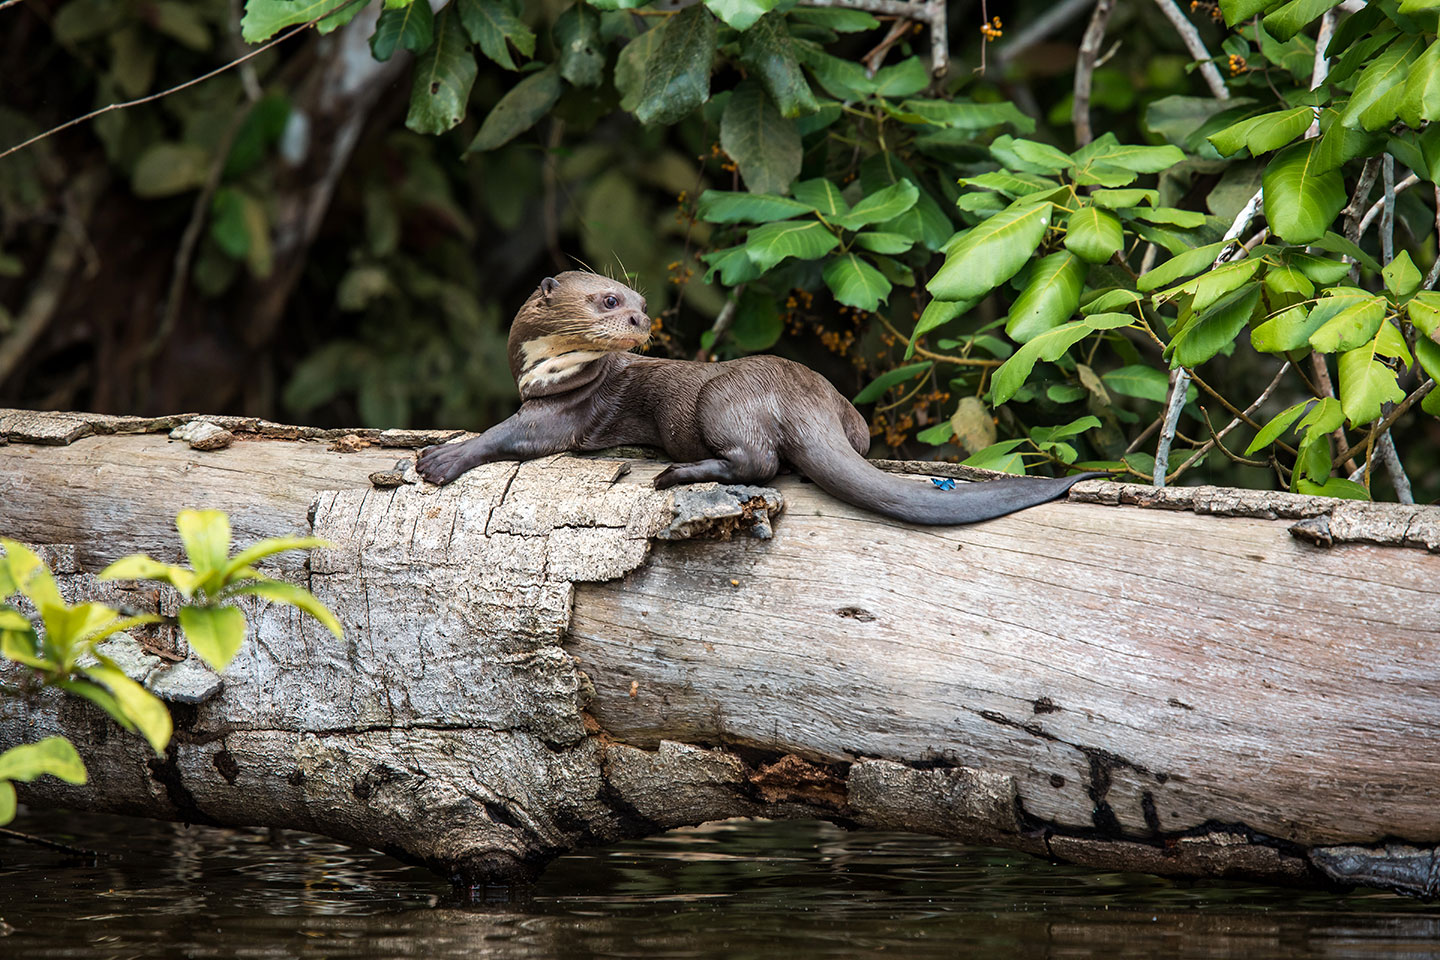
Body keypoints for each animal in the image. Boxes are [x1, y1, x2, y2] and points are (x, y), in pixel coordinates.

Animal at [416, 271, 1100, 524]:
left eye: (638, 302)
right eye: (610, 300)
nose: (642, 319)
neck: (544, 371)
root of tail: (803, 398)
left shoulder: (561, 412)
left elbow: (507, 434)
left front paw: (441, 459)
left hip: (719, 400)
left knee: (760, 463)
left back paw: (674, 475)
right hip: (847, 413)